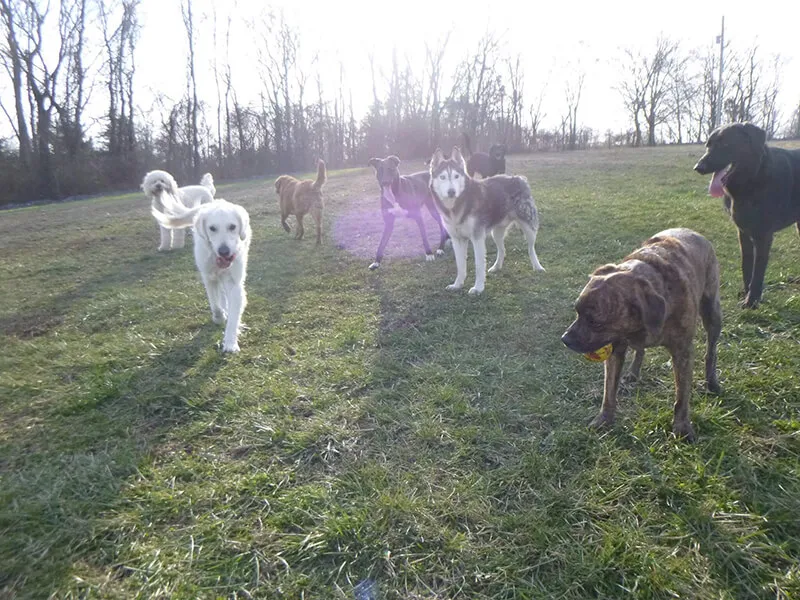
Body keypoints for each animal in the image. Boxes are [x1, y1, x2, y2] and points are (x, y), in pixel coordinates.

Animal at [150, 195, 250, 352]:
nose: (224, 252)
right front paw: (219, 318)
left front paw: (230, 343)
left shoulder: (234, 283)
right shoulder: (209, 278)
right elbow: (215, 305)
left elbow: (234, 315)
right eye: (212, 228)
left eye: (232, 227)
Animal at [424, 146, 544, 294]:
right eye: (442, 177)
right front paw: (457, 284)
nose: (451, 191)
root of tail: (518, 178)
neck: (456, 207)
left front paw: (478, 288)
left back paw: (537, 266)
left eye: (456, 176)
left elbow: (479, 265)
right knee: (502, 250)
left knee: (530, 248)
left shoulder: (477, 238)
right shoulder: (457, 240)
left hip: (529, 228)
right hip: (496, 233)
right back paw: (496, 267)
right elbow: (460, 265)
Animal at [692, 122, 800, 310]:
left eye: (726, 144)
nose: (698, 168)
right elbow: (746, 265)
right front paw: (745, 292)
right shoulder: (742, 232)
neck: (752, 177)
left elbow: (758, 271)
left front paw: (752, 300)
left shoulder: (763, 236)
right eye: (708, 145)